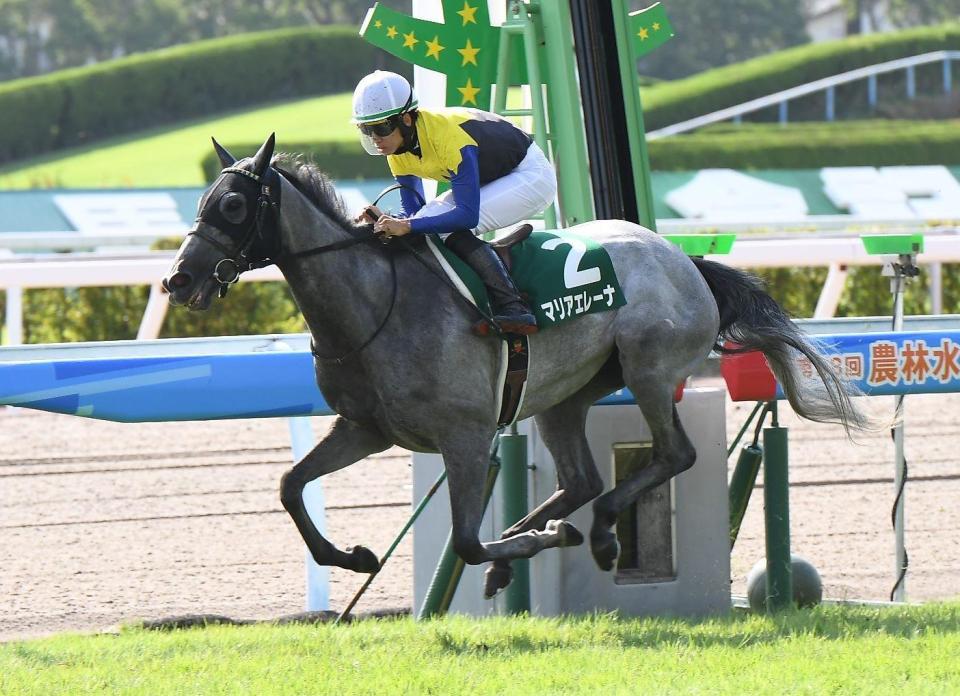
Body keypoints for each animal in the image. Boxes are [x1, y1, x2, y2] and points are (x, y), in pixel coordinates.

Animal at [162, 134, 868, 599]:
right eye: (201, 200)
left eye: (233, 206)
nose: (178, 279)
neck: (373, 305)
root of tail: (686, 260)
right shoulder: (365, 428)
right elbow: (290, 486)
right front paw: (355, 557)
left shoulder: (466, 435)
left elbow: (467, 539)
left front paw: (526, 546)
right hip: (565, 395)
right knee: (580, 480)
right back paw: (551, 538)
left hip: (647, 367)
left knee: (673, 456)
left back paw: (596, 534)